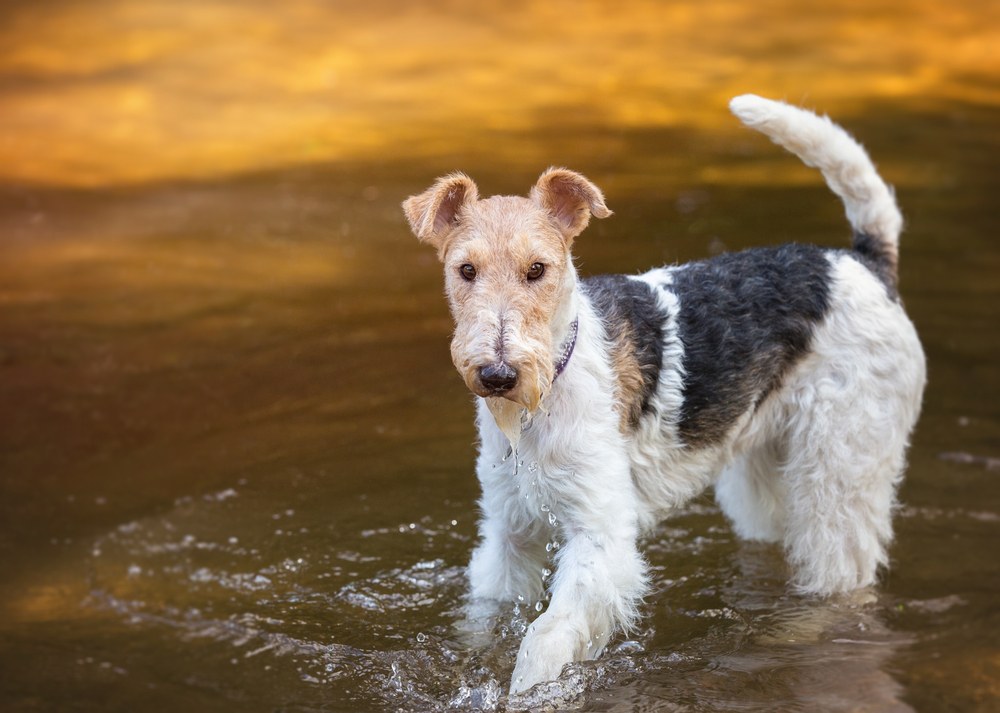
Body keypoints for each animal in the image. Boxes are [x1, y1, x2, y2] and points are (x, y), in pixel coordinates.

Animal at [402, 92, 924, 692]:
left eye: (538, 269)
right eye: (465, 270)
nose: (498, 375)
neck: (549, 388)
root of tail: (864, 263)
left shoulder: (600, 538)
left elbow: (542, 640)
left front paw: (527, 693)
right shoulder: (508, 534)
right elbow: (487, 617)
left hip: (840, 474)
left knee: (841, 573)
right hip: (763, 474)